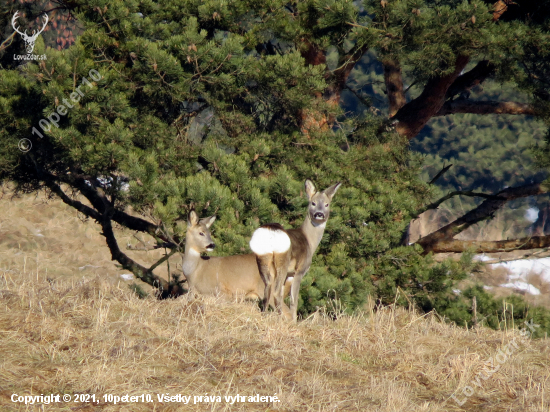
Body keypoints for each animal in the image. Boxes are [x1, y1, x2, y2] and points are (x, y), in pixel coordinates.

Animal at [249, 179, 340, 322]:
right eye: (313, 203)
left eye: (327, 204)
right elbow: (294, 299)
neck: (309, 241)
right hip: (282, 260)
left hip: (263, 258)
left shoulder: (289, 273)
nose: (319, 214)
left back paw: (265, 315)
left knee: (267, 288)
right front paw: (294, 321)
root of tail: (270, 231)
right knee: (275, 292)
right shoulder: (299, 271)